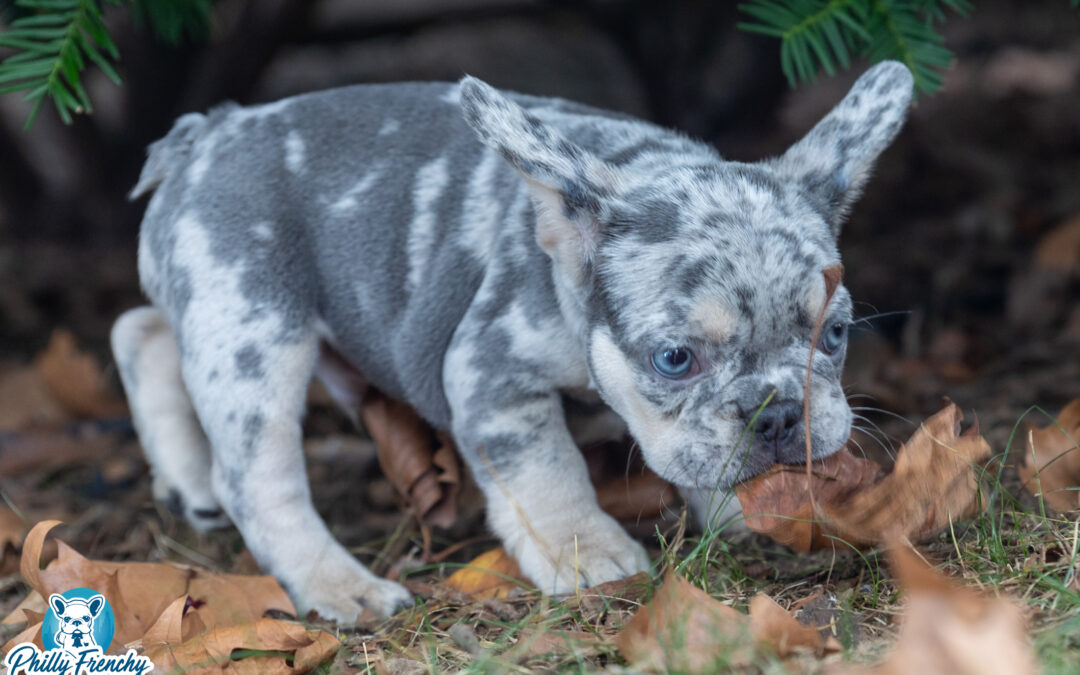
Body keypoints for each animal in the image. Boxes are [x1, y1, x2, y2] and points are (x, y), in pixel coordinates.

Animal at [113, 60, 911, 617]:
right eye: (674, 358)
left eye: (835, 334)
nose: (777, 415)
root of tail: (210, 133)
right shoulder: (491, 376)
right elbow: (549, 470)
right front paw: (590, 553)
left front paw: (738, 516)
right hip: (254, 328)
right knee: (256, 478)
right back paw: (339, 585)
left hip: (216, 316)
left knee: (139, 328)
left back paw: (184, 478)